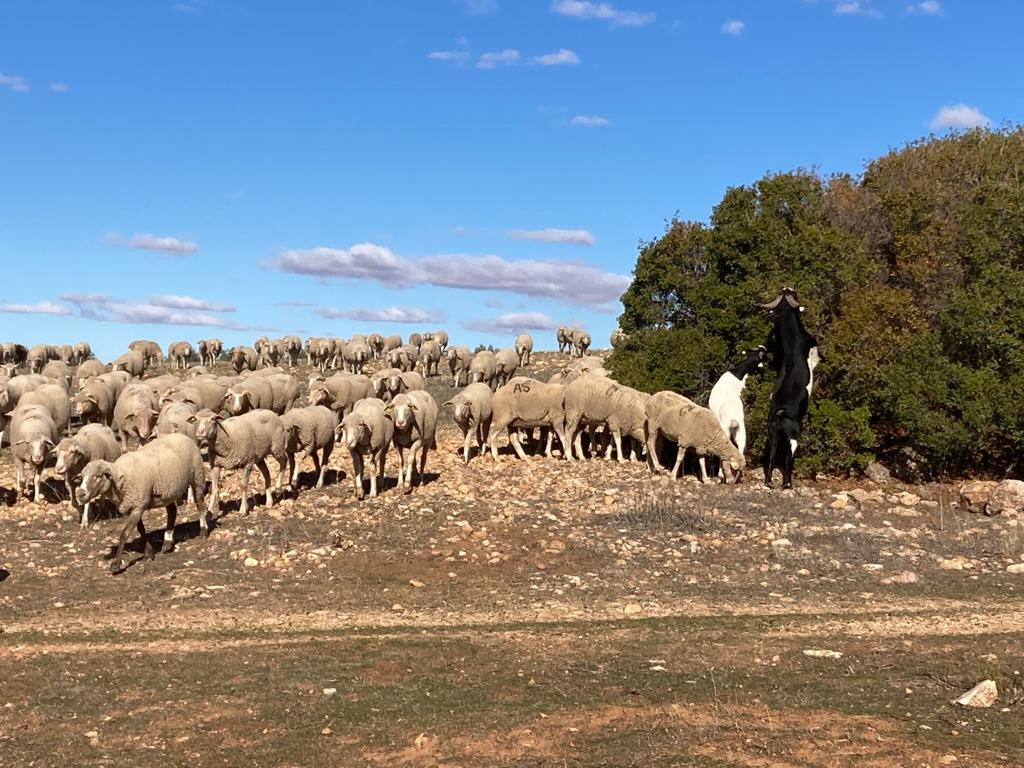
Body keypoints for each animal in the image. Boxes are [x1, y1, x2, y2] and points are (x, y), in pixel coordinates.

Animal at [75, 436, 207, 573]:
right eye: (82, 477)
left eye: (98, 476)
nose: (80, 494)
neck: (122, 477)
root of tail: (183, 436)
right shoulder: (134, 506)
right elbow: (141, 530)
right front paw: (148, 554)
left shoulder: (138, 505)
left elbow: (125, 533)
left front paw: (116, 564)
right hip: (168, 491)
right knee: (172, 511)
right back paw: (167, 543)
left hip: (197, 476)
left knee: (200, 505)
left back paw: (203, 532)